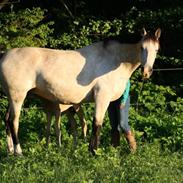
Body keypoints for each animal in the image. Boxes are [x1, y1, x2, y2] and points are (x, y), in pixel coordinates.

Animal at [0, 27, 160, 155]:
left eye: (156, 49)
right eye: (142, 48)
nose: (147, 72)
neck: (113, 58)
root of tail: (4, 55)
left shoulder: (111, 101)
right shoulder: (102, 98)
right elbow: (97, 124)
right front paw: (93, 152)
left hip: (12, 98)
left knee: (7, 120)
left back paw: (10, 151)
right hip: (17, 97)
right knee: (14, 121)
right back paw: (19, 152)